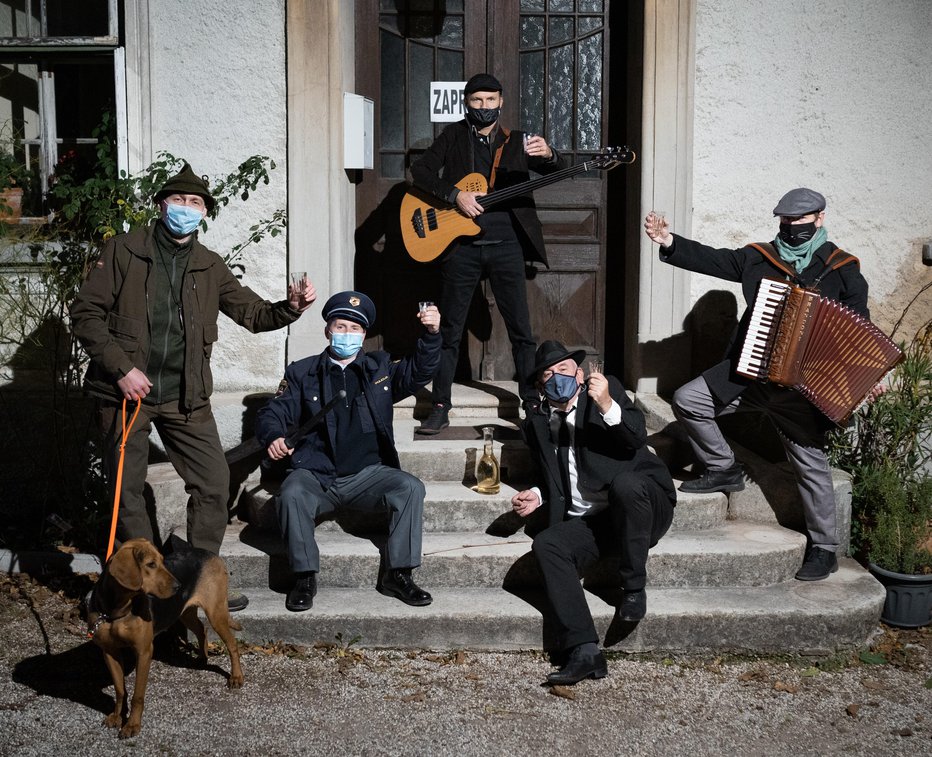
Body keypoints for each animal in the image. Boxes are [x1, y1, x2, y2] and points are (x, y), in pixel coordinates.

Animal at [86, 536, 244, 740]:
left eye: (162, 561)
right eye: (151, 564)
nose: (179, 586)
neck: (116, 611)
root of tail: (210, 554)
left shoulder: (144, 652)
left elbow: (137, 695)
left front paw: (132, 725)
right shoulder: (109, 652)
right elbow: (120, 690)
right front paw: (116, 717)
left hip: (216, 613)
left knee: (232, 644)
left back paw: (236, 677)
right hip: (184, 612)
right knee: (202, 630)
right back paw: (202, 658)